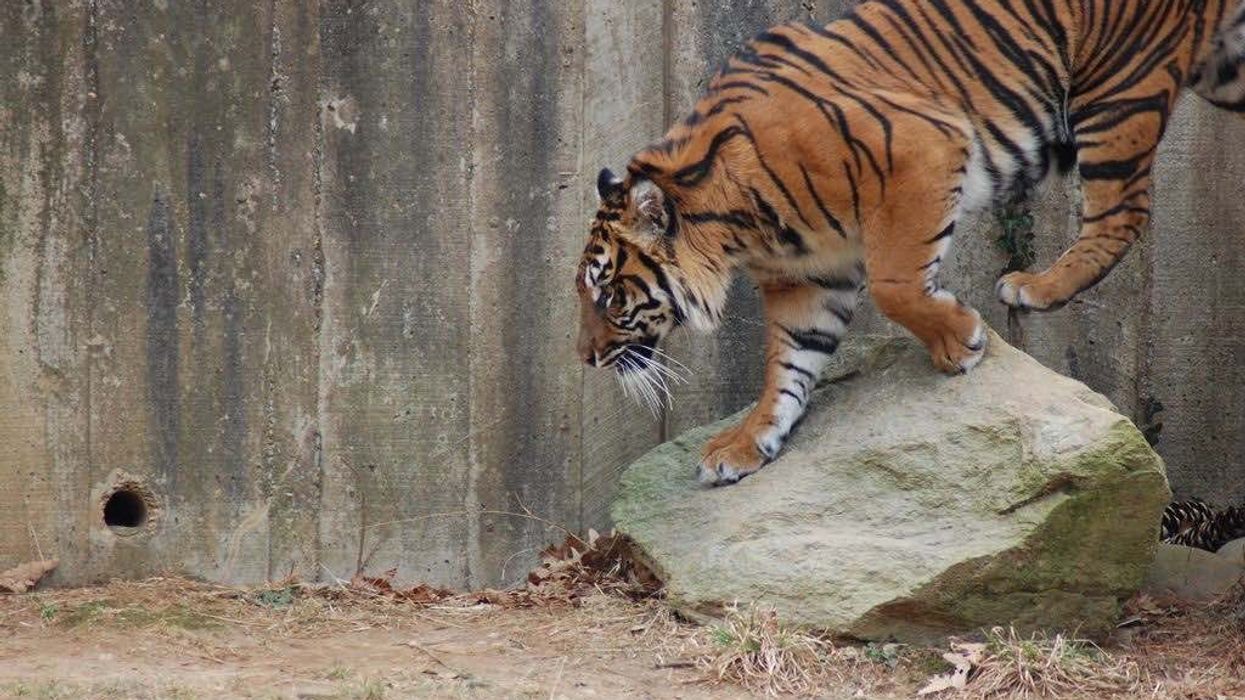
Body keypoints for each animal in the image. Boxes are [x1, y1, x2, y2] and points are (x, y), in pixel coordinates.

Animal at [575, 0, 1245, 487]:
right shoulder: (806, 277)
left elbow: (895, 287)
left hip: (1113, 92)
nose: (584, 359)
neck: (742, 225)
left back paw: (1035, 286)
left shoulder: (923, 149)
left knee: (1124, 213)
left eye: (607, 296)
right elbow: (788, 364)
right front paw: (746, 443)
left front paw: (959, 341)